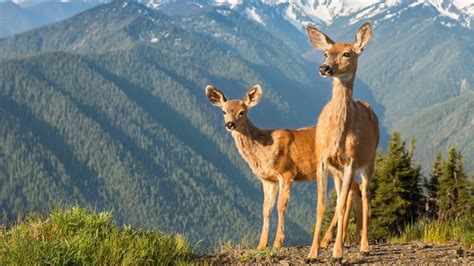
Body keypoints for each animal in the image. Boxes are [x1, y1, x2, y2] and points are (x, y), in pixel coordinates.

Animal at [205, 84, 362, 249]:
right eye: (224, 111)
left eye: (242, 112)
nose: (230, 124)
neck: (265, 148)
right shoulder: (268, 179)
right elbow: (266, 209)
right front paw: (261, 244)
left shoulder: (286, 171)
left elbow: (281, 206)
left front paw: (278, 242)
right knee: (353, 189)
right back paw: (347, 238)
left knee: (351, 190)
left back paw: (330, 239)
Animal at [306, 21, 380, 262]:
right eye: (326, 52)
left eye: (347, 53)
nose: (324, 68)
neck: (336, 136)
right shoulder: (322, 161)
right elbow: (321, 206)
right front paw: (312, 253)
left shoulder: (351, 160)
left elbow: (339, 206)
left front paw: (337, 254)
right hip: (338, 171)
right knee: (349, 195)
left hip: (369, 161)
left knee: (364, 195)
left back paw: (364, 245)